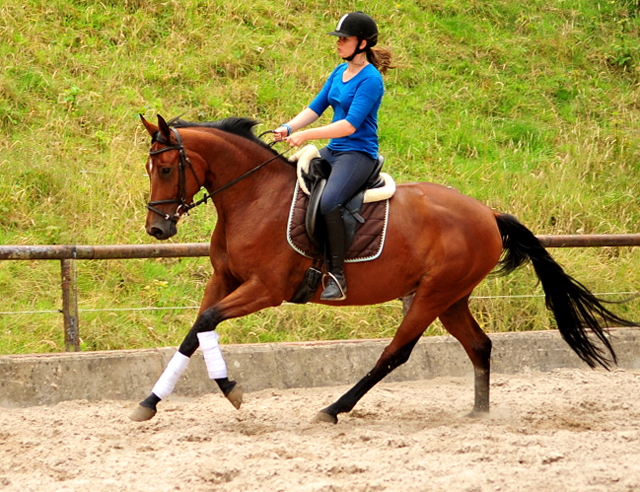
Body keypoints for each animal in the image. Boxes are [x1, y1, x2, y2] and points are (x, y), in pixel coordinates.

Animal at [129, 114, 636, 422]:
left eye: (168, 169)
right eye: (150, 170)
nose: (157, 228)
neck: (254, 199)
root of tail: (488, 214)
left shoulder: (265, 289)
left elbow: (208, 322)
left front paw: (230, 388)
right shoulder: (225, 279)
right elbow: (196, 329)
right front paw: (149, 402)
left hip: (432, 296)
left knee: (396, 353)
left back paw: (333, 409)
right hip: (451, 298)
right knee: (479, 346)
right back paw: (479, 413)